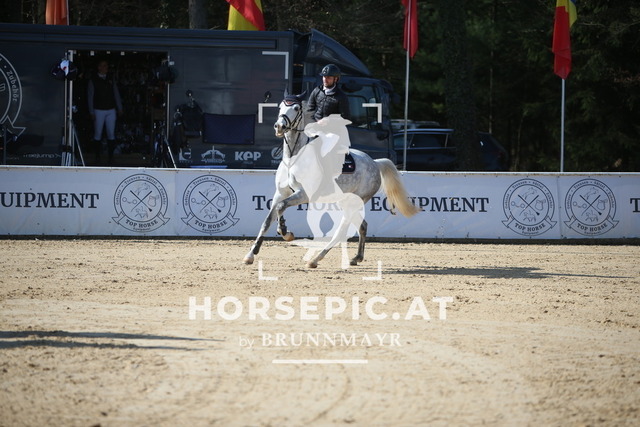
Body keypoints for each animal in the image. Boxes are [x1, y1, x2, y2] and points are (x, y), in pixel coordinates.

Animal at [243, 93, 419, 268]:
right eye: (280, 106)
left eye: (296, 108)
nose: (279, 126)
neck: (293, 159)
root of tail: (375, 163)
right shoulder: (281, 192)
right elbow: (269, 218)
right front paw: (251, 254)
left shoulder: (304, 194)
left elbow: (281, 207)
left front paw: (286, 233)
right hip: (344, 201)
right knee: (362, 226)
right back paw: (356, 257)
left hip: (352, 203)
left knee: (341, 231)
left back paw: (315, 259)